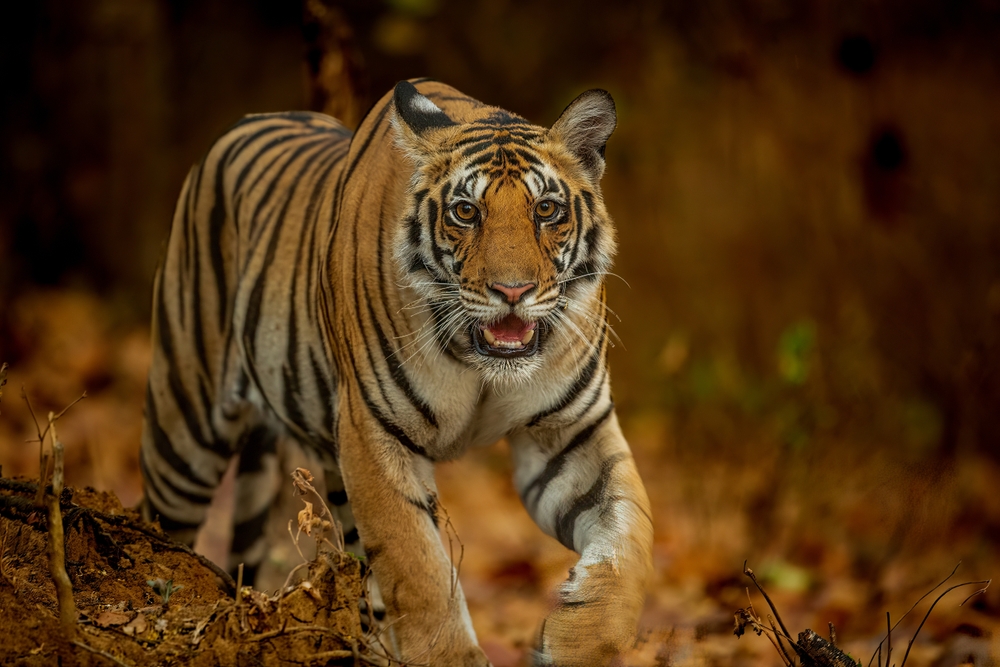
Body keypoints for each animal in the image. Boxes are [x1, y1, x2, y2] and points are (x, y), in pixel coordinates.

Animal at [141, 79, 656, 667]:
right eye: (465, 212)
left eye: (546, 209)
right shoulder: (373, 432)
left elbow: (632, 538)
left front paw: (576, 639)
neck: (481, 366)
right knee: (159, 522)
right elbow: (419, 569)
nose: (513, 291)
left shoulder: (570, 430)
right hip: (184, 425)